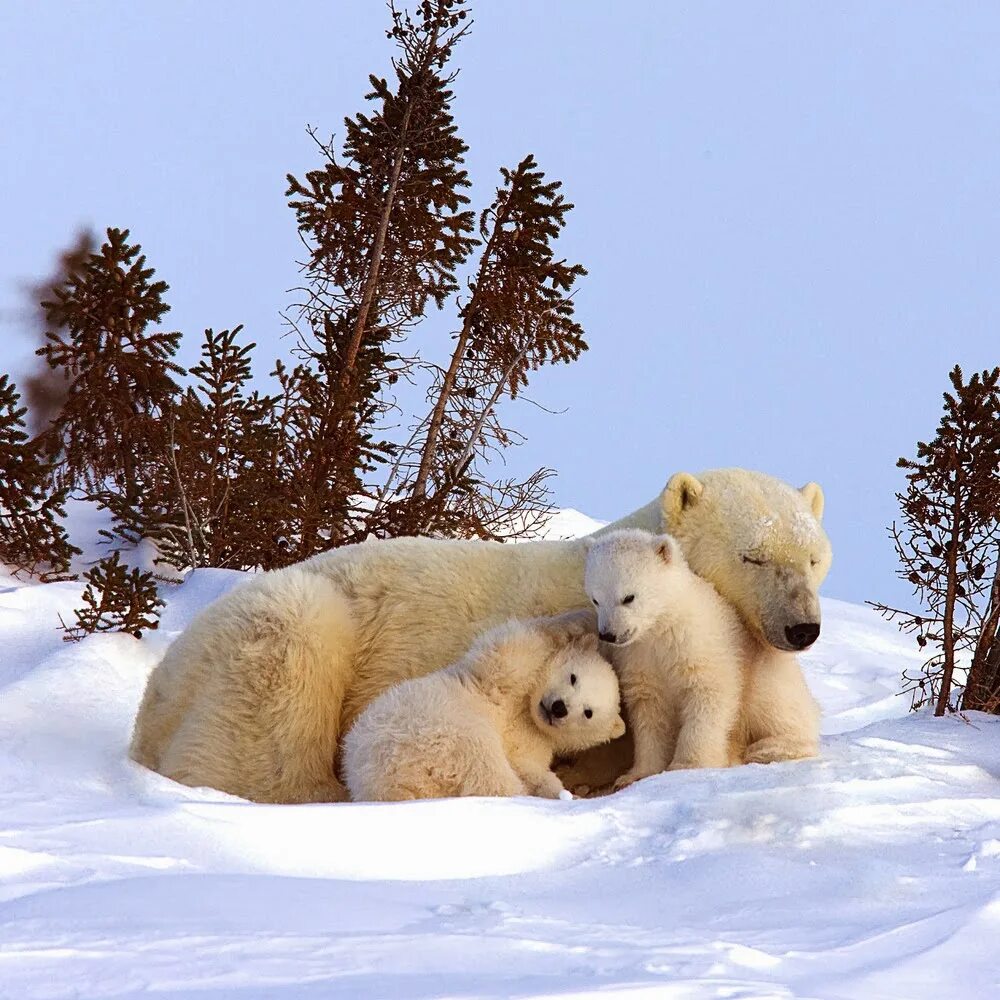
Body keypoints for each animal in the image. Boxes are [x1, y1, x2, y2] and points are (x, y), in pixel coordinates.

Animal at [344, 612, 624, 800]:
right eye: (573, 677)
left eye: (588, 713)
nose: (559, 708)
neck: (526, 714)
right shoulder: (500, 683)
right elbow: (514, 648)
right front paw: (581, 620)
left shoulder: (536, 742)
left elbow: (531, 767)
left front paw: (561, 791)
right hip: (435, 725)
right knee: (483, 764)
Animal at [584, 532, 820, 788]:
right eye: (595, 599)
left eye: (628, 597)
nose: (608, 634)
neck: (663, 627)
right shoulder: (639, 658)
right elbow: (649, 713)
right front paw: (634, 775)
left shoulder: (699, 646)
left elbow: (708, 696)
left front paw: (687, 766)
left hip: (767, 674)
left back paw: (768, 749)